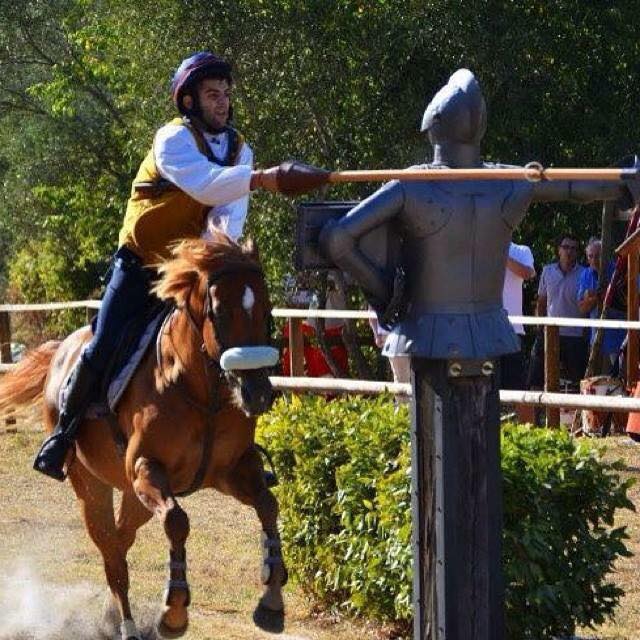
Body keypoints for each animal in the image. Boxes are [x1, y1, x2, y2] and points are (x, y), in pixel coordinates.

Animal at [0, 238, 286, 640]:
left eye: (265, 308)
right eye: (219, 311)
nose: (257, 393)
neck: (201, 391)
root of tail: (62, 351)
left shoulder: (231, 470)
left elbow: (267, 504)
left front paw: (272, 601)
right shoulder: (146, 469)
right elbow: (177, 521)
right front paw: (174, 611)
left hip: (133, 496)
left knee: (120, 541)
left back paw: (111, 616)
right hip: (92, 486)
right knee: (112, 553)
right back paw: (127, 624)